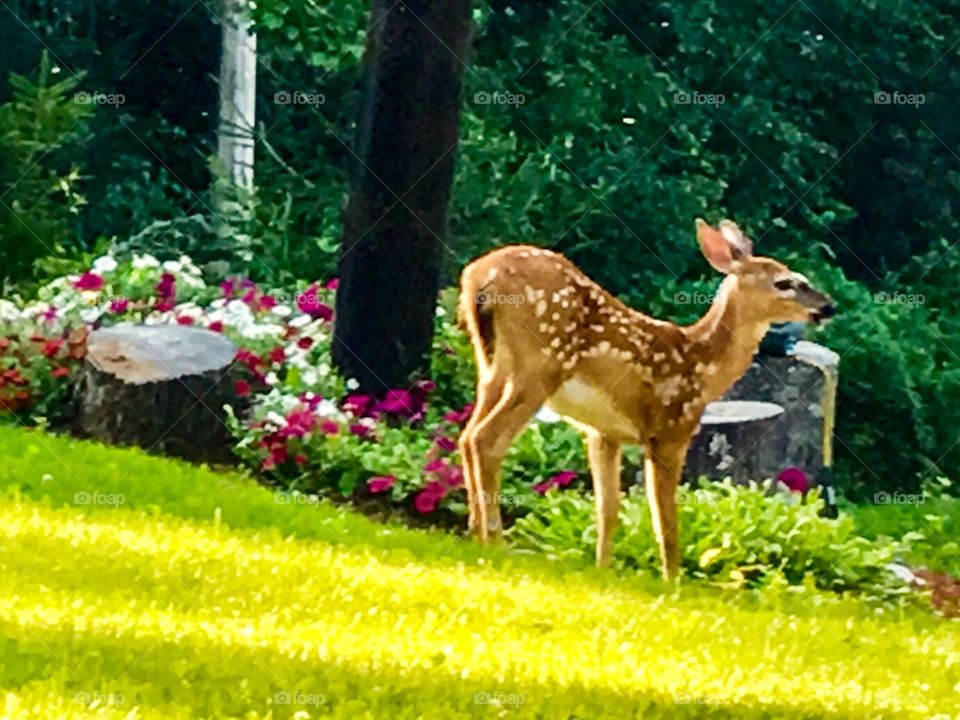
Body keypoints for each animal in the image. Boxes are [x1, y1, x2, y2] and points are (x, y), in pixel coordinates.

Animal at [456, 218, 836, 581]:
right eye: (784, 282)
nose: (828, 306)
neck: (703, 368)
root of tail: (480, 275)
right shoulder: (669, 431)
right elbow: (664, 517)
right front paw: (672, 581)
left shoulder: (604, 433)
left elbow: (608, 509)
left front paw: (603, 569)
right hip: (540, 363)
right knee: (486, 439)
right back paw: (495, 541)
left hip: (490, 366)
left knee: (466, 436)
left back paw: (476, 535)